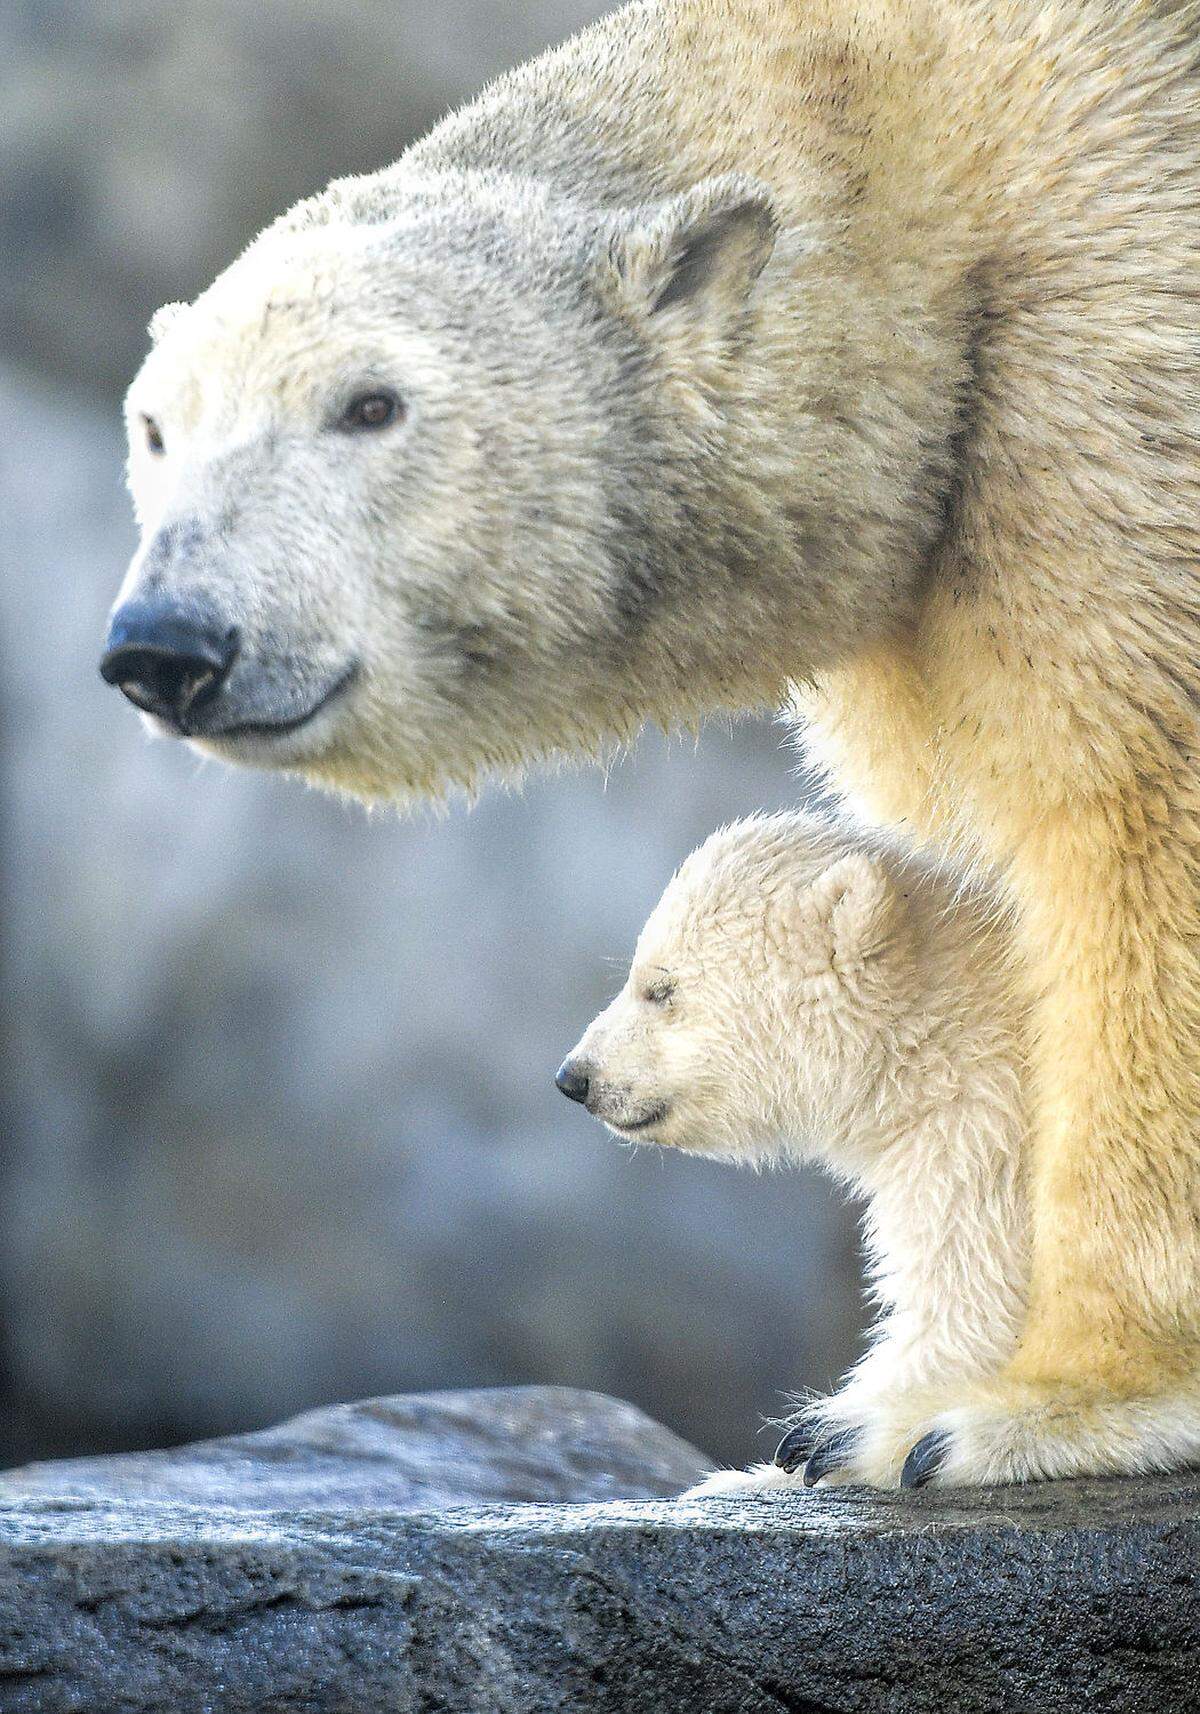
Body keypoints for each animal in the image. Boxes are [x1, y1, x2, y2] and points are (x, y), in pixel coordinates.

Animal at [100, 0, 1200, 1487]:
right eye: (156, 424)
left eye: (371, 404)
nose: (169, 641)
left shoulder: (1110, 361)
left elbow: (1138, 811)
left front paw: (1034, 1403)